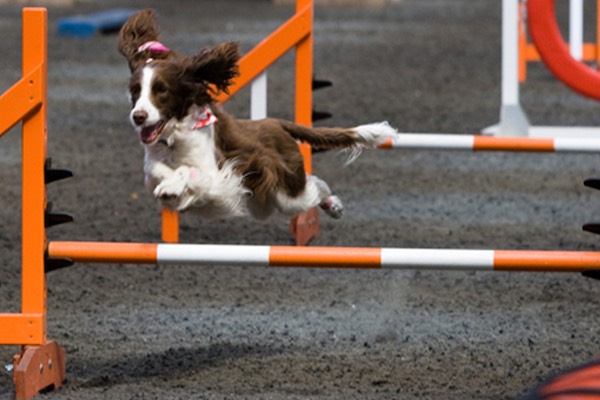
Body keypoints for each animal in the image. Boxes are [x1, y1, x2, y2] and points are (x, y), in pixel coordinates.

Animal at [119, 9, 396, 220]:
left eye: (161, 90)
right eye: (135, 90)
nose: (138, 116)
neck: (174, 139)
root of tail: (277, 123)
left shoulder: (219, 174)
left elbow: (190, 172)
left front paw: (172, 185)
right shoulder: (155, 163)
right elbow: (156, 169)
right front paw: (169, 187)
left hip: (286, 194)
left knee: (315, 187)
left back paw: (333, 206)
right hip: (264, 202)